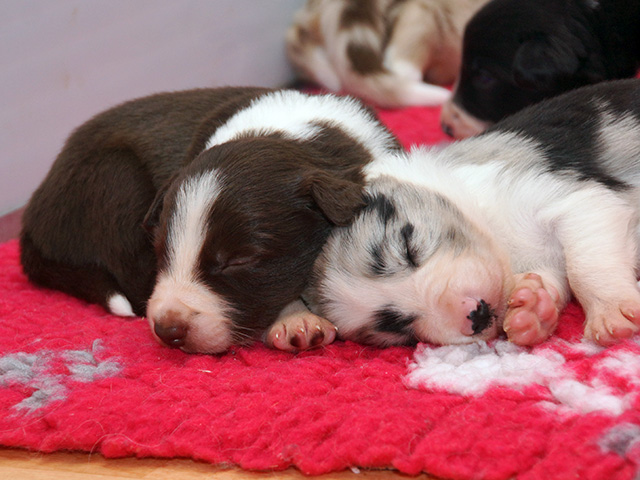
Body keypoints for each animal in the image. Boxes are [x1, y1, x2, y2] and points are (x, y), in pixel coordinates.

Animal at [20, 87, 401, 354]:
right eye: (161, 251)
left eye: (239, 261)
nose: (168, 330)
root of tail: (31, 222)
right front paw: (298, 320)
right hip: (116, 178)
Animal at [306, 79, 640, 348]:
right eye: (395, 325)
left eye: (407, 248)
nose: (476, 315)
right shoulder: (545, 260)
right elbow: (553, 278)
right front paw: (530, 310)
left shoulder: (574, 198)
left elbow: (585, 265)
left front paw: (610, 311)